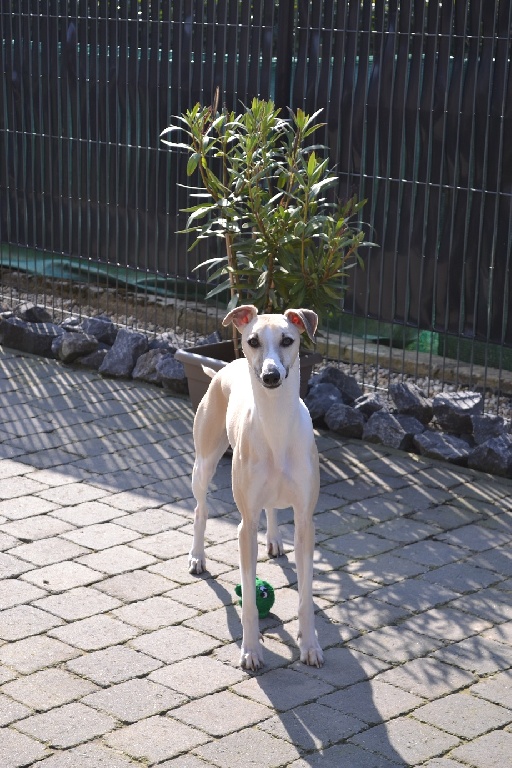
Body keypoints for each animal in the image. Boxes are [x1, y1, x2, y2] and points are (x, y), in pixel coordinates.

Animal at [190, 304, 322, 668]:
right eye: (252, 341)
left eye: (288, 340)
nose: (271, 376)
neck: (276, 426)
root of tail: (226, 366)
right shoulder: (245, 526)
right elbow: (249, 598)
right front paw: (251, 650)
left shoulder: (306, 521)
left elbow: (305, 595)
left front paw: (310, 645)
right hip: (204, 463)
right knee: (200, 510)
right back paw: (197, 557)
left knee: (273, 509)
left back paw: (275, 540)